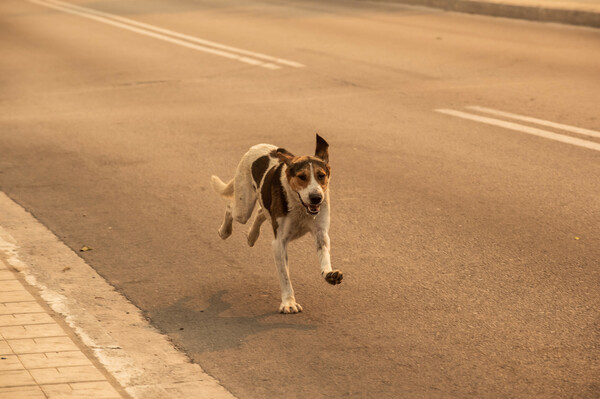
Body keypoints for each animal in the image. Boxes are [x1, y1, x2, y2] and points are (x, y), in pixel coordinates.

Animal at [211, 136, 342, 314]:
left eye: (321, 176)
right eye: (302, 177)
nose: (316, 198)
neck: (300, 206)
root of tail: (257, 146)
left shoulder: (321, 233)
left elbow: (324, 256)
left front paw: (329, 274)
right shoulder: (279, 243)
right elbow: (285, 276)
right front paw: (289, 302)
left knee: (261, 211)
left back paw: (252, 236)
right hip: (243, 207)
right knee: (231, 207)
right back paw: (225, 231)